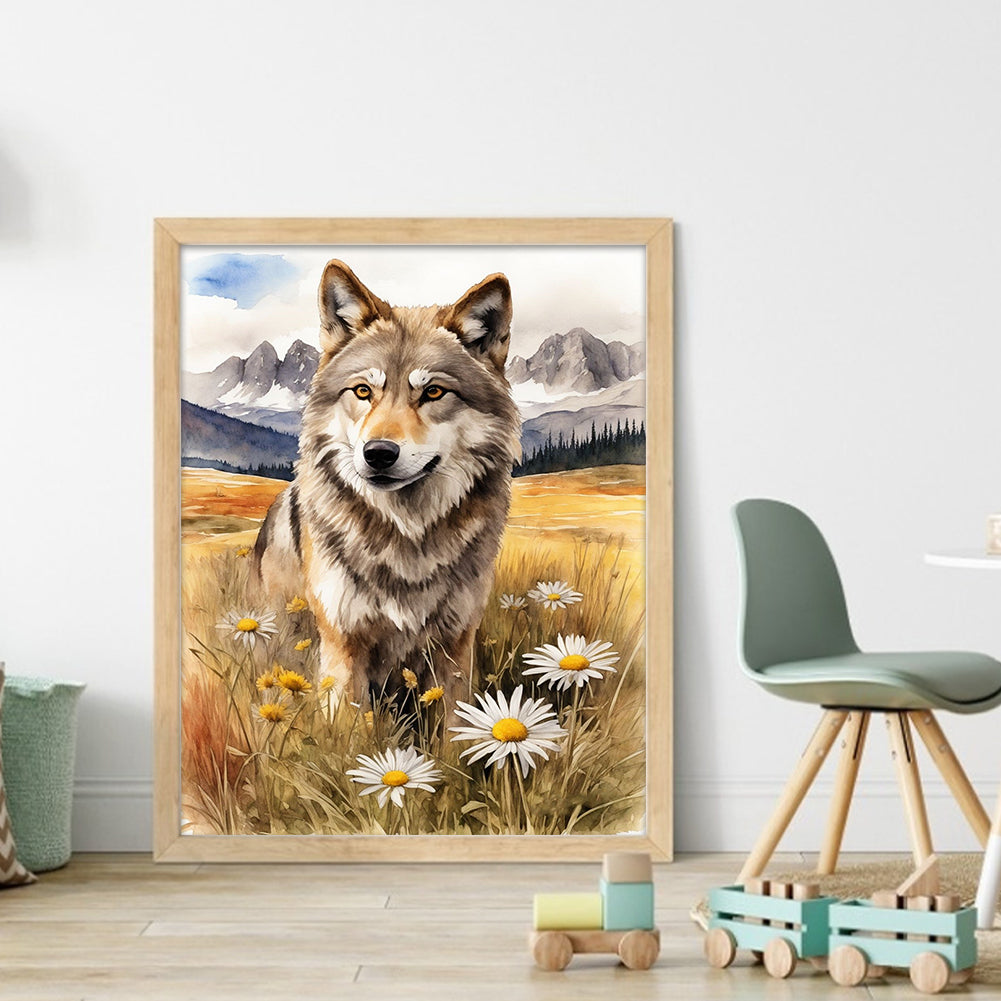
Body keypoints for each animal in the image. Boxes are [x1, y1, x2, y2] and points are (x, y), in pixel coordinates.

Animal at [252, 260, 521, 712]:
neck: (406, 535)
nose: (378, 453)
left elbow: (456, 724)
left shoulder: (456, 645)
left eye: (433, 392)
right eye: (363, 391)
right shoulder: (342, 645)